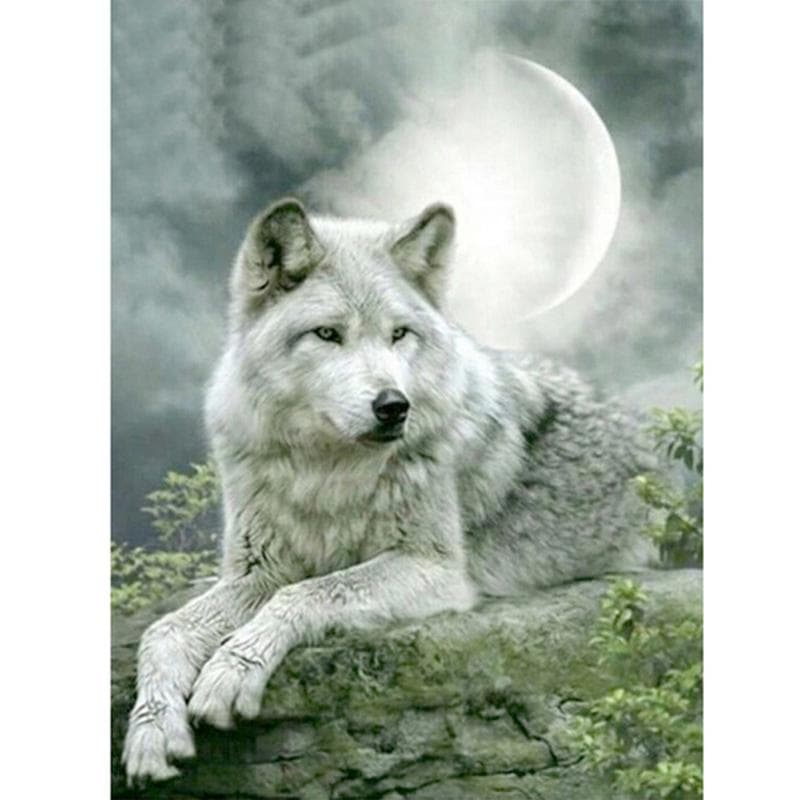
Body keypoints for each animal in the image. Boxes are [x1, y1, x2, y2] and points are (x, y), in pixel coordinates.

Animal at [122, 198, 658, 783]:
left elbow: (308, 594)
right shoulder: (257, 572)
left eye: (399, 334)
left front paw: (230, 671)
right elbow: (163, 631)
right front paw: (151, 730)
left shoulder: (434, 568)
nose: (394, 406)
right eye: (328, 334)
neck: (327, 472)